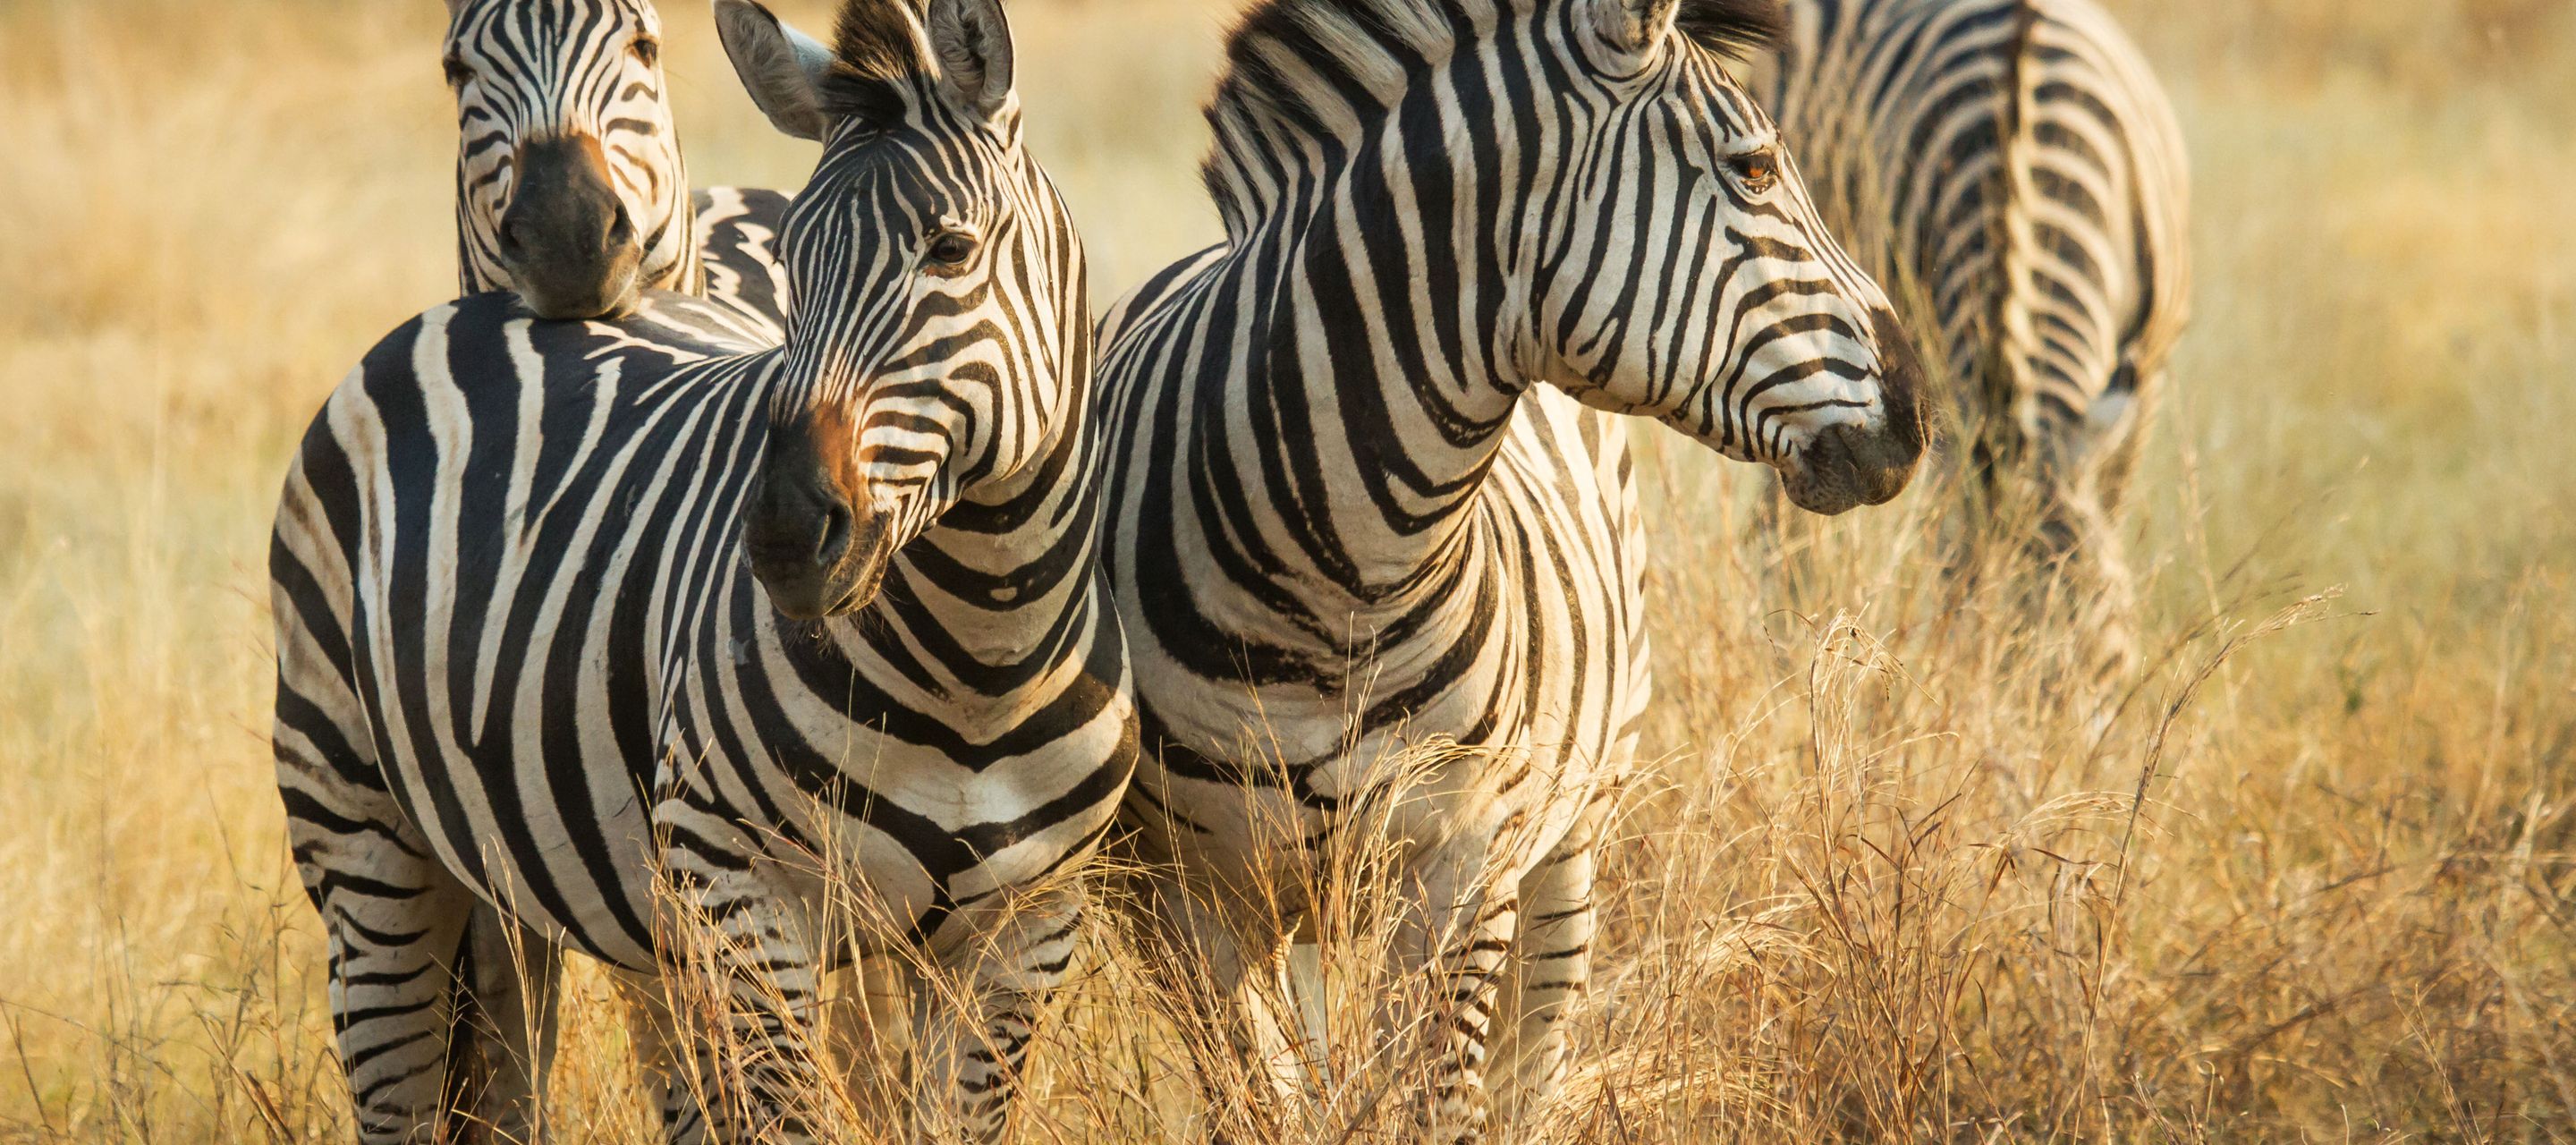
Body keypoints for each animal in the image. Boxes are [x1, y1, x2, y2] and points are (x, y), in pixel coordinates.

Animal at [1093, 0, 1925, 1135]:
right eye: (1756, 169)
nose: (1917, 412)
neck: (1332, 580)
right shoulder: (1180, 897)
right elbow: (1266, 1106)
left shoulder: (1464, 871)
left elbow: (1435, 1104)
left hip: (1571, 842)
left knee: (1532, 1067)